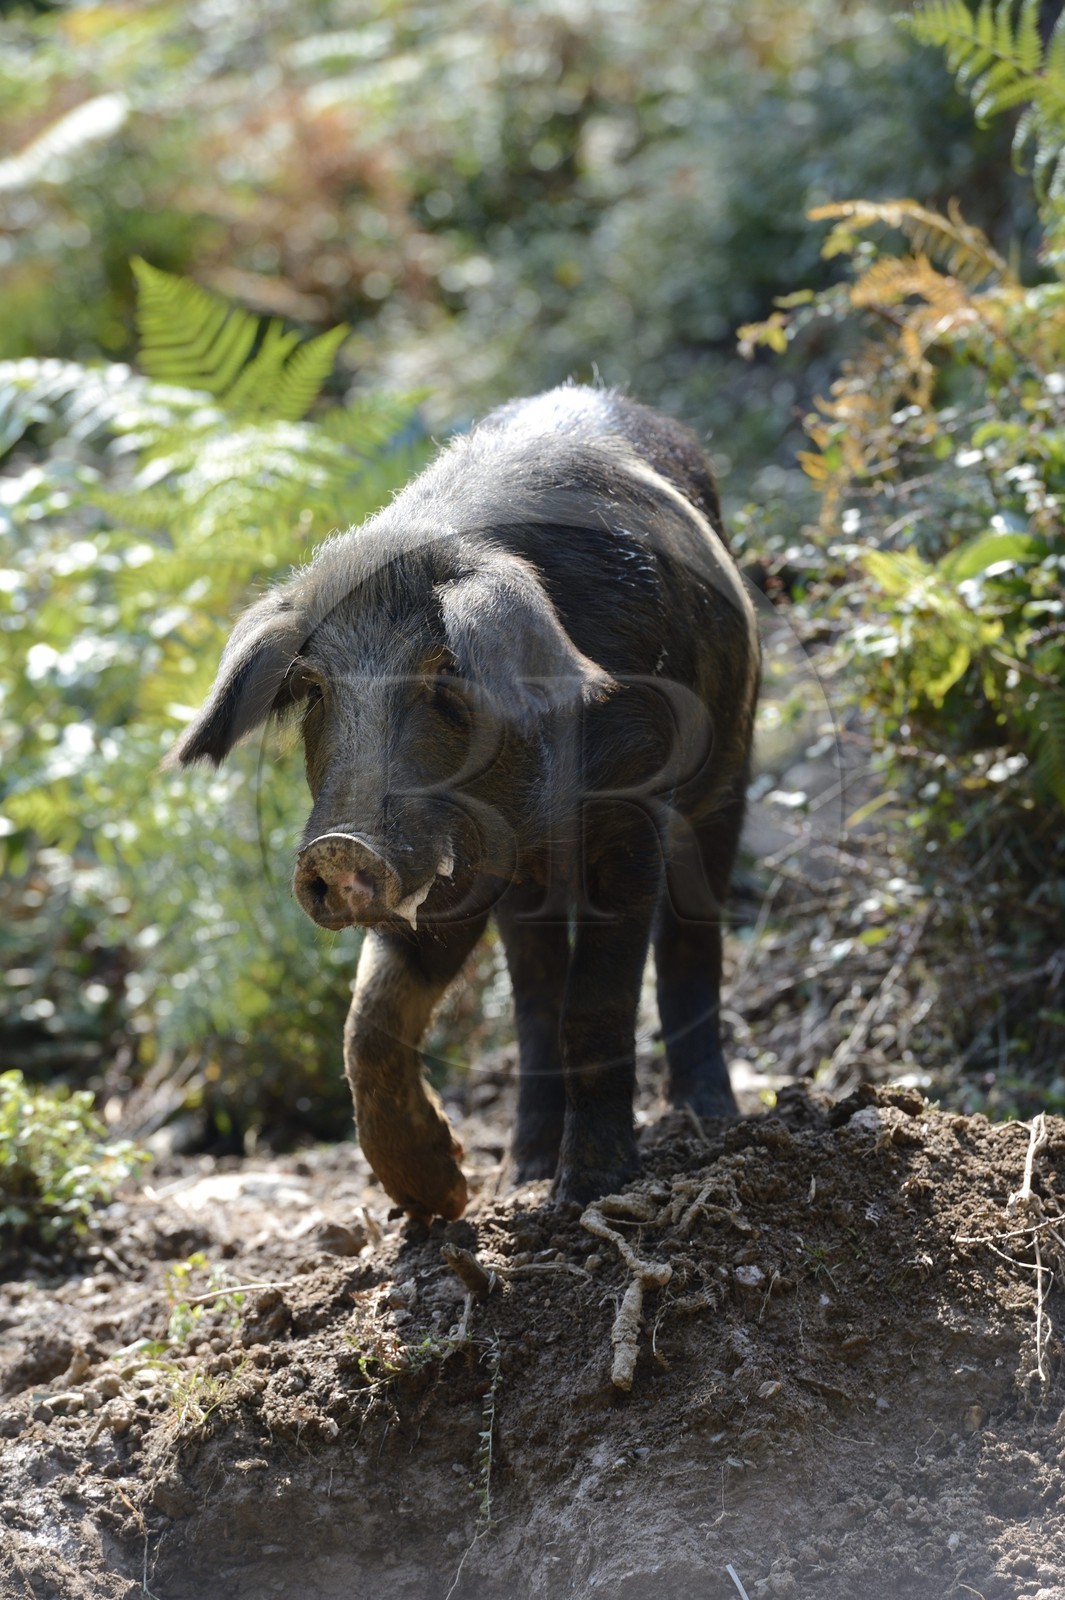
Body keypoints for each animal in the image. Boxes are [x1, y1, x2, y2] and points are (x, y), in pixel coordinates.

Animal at [170, 384, 759, 1221]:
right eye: (314, 687)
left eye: (445, 673)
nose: (340, 847)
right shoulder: (452, 866)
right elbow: (370, 1018)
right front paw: (441, 1199)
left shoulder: (633, 812)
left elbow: (598, 1004)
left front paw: (591, 1192)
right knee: (533, 997)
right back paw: (519, 1172)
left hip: (729, 776)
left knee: (688, 943)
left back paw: (706, 1122)